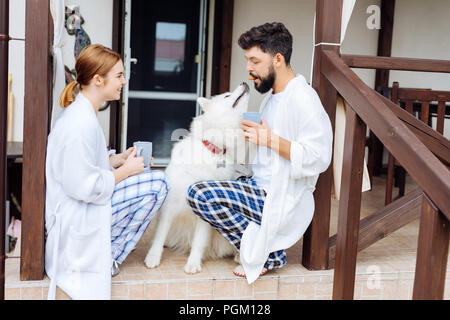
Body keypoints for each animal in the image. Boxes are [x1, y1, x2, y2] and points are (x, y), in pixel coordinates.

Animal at [144, 82, 250, 272]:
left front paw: (193, 262)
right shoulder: (170, 204)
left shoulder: (204, 212)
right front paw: (153, 257)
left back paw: (239, 257)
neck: (213, 148)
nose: (244, 83)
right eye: (227, 95)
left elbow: (199, 240)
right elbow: (160, 235)